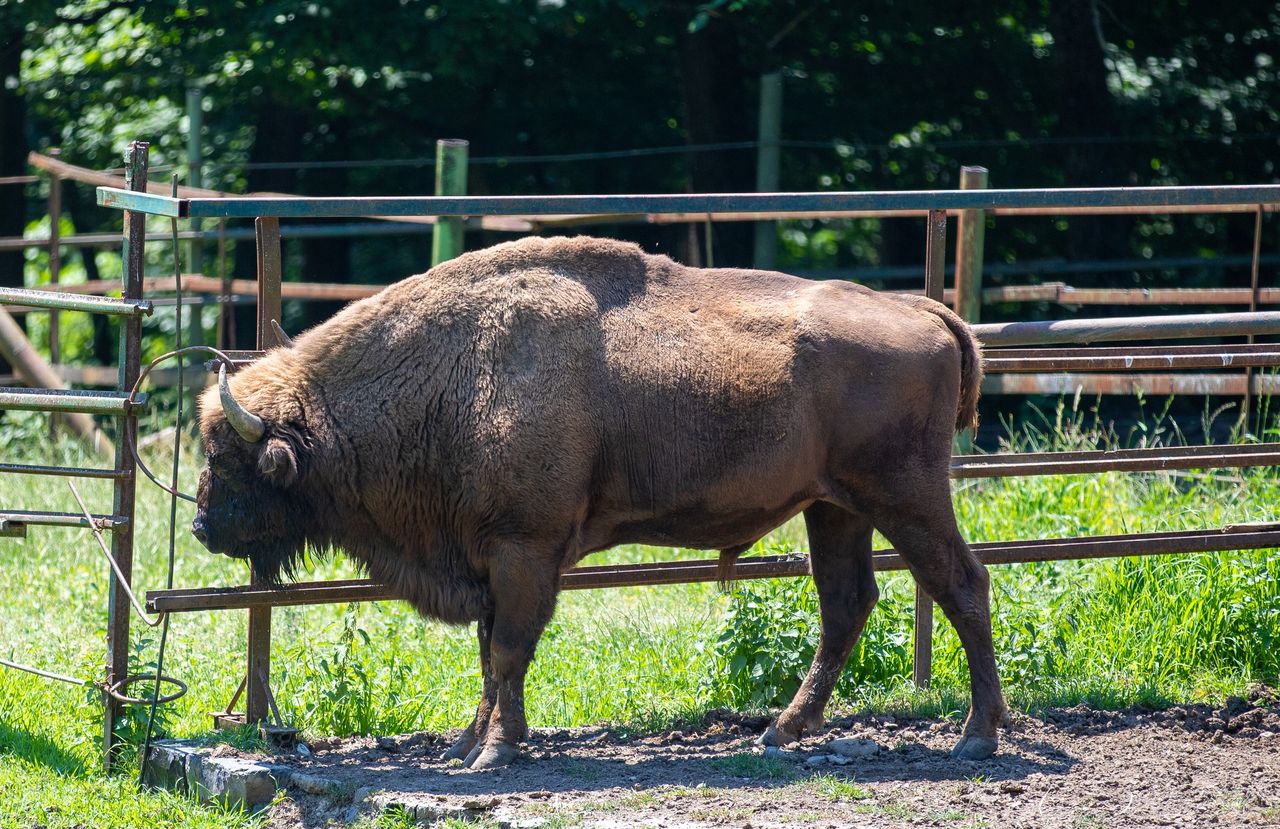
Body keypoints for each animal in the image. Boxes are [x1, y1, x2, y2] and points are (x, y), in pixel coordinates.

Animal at [194, 232, 1003, 772]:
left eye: (230, 459)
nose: (201, 526)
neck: (453, 372)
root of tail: (927, 312)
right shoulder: (489, 559)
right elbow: (489, 652)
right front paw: (474, 741)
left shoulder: (524, 548)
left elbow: (510, 647)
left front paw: (493, 752)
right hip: (834, 506)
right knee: (846, 602)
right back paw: (784, 729)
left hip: (905, 496)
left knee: (962, 584)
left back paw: (978, 735)